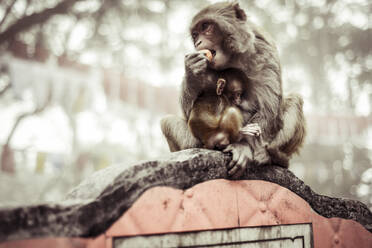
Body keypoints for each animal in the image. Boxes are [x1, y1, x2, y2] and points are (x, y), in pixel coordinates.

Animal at [161, 0, 306, 177]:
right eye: (195, 35)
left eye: (206, 27)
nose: (198, 43)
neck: (231, 57)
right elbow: (190, 114)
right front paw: (192, 71)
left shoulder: (263, 49)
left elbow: (269, 109)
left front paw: (242, 146)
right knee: (167, 122)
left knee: (295, 101)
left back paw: (270, 156)